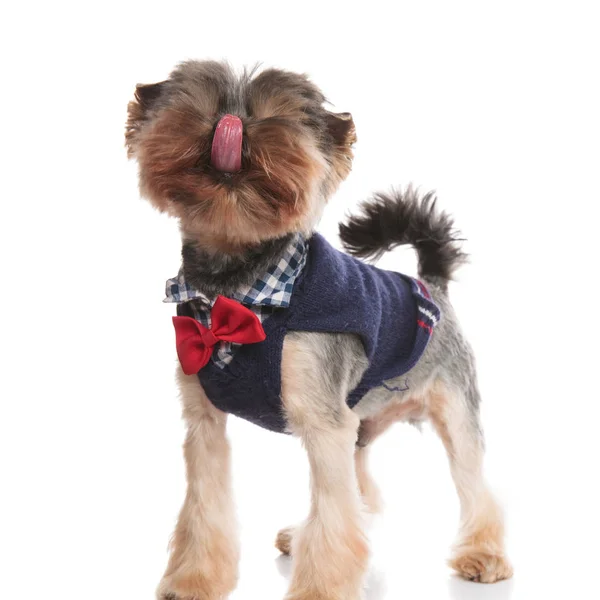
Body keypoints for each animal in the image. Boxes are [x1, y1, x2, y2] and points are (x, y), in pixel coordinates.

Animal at [125, 62, 510, 600]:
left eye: (273, 115)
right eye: (200, 105)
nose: (231, 127)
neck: (239, 290)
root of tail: (431, 285)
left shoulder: (324, 418)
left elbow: (333, 517)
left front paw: (320, 589)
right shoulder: (204, 420)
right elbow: (205, 506)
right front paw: (194, 580)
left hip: (453, 405)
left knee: (474, 483)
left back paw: (484, 555)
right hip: (363, 419)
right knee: (363, 490)